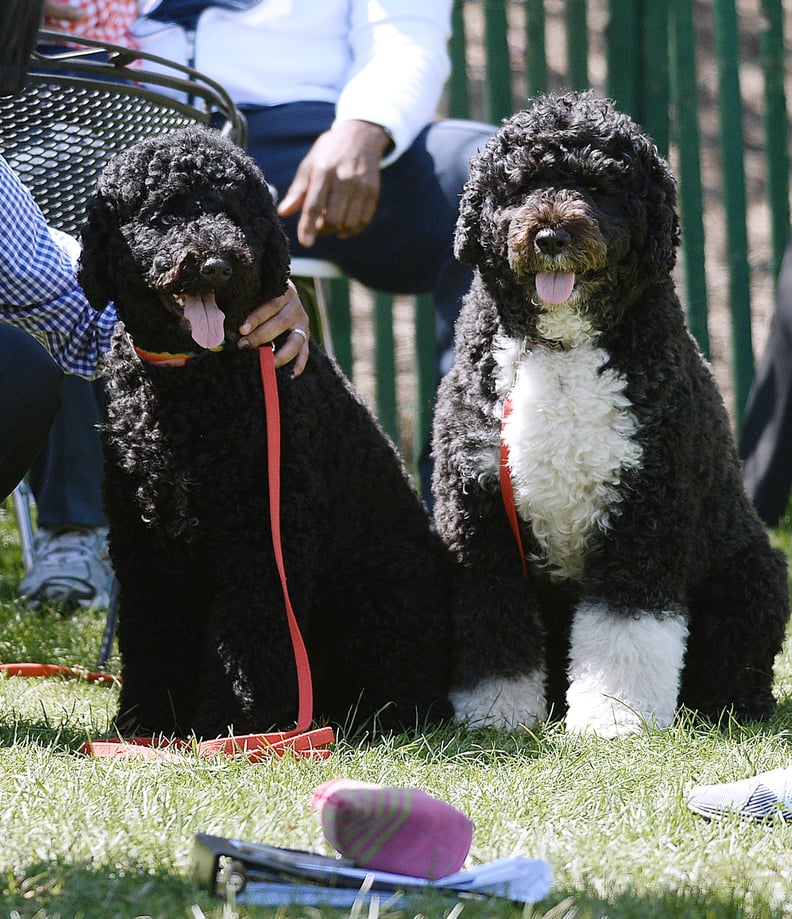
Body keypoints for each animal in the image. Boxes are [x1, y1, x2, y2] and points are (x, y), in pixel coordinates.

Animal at [81, 126, 454, 740]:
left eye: (234, 211)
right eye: (167, 211)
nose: (215, 265)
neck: (192, 385)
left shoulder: (260, 538)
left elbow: (247, 640)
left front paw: (234, 727)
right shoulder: (145, 546)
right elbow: (152, 640)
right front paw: (145, 724)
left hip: (381, 597)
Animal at [434, 91, 792, 740]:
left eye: (600, 187)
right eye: (521, 186)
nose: (550, 234)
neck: (560, 348)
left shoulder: (644, 512)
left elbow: (626, 630)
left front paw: (614, 716)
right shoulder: (483, 520)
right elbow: (494, 620)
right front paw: (497, 714)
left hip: (753, 570)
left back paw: (731, 704)